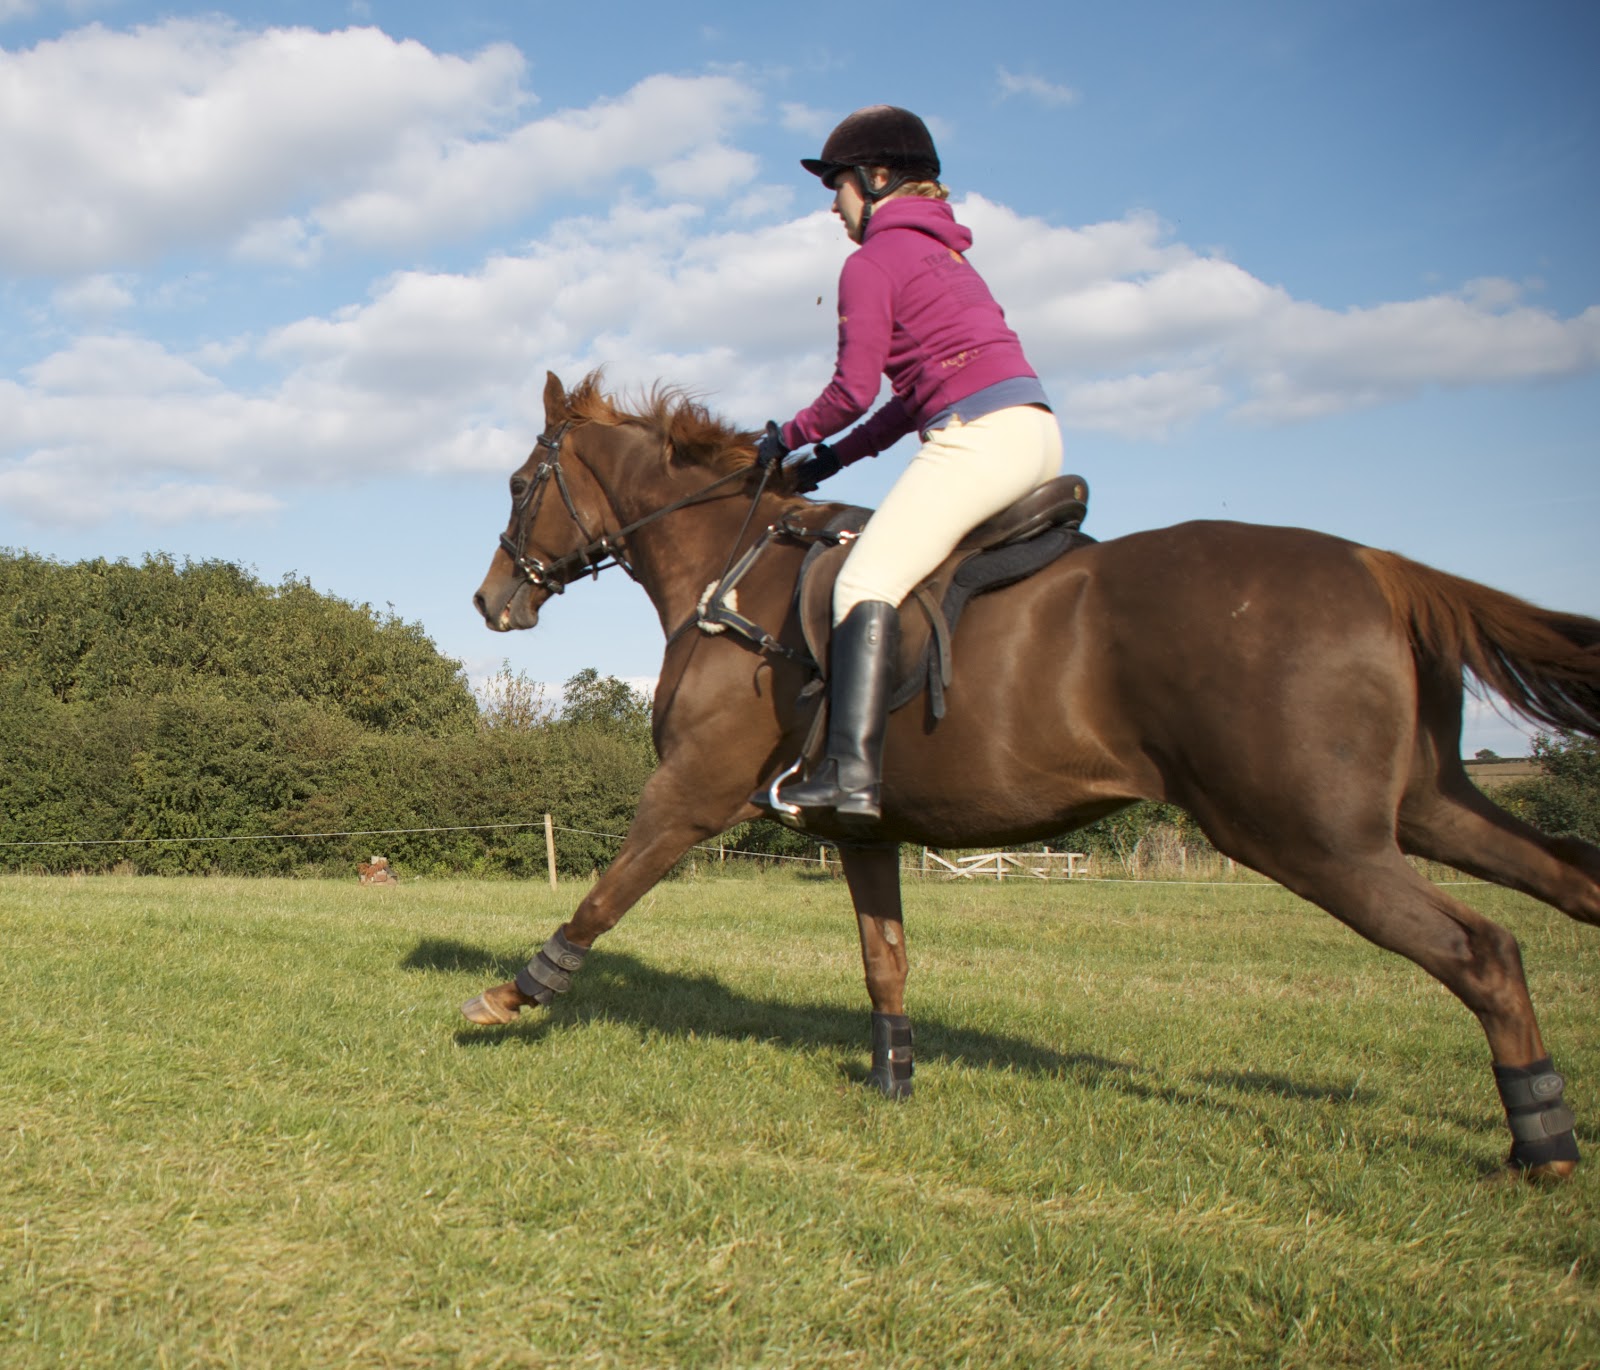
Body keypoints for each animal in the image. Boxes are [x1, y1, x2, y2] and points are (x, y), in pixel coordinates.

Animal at [467, 371, 1600, 1182]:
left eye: (521, 484)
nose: (490, 601)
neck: (730, 573)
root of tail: (1377, 566)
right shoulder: (865, 828)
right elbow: (884, 960)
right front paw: (892, 1080)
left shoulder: (691, 792)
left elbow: (605, 893)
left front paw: (514, 994)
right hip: (1424, 807)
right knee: (1569, 879)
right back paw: (1545, 1119)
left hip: (1311, 835)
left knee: (1482, 948)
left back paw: (1539, 1145)